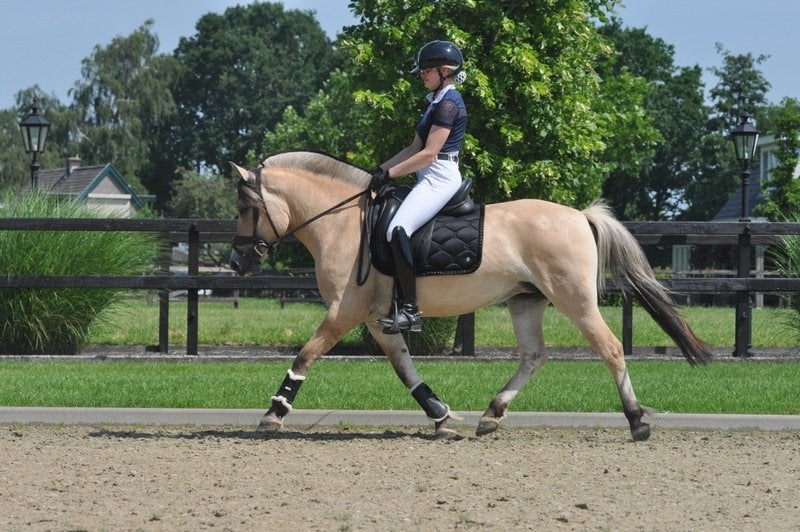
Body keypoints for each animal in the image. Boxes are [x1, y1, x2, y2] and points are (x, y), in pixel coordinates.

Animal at [229, 151, 712, 441]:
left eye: (245, 209)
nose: (236, 263)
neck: (343, 222)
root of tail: (579, 215)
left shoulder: (344, 311)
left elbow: (306, 355)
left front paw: (273, 414)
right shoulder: (376, 319)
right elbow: (405, 369)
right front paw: (441, 416)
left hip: (573, 299)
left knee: (610, 348)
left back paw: (637, 421)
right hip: (525, 301)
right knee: (534, 356)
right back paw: (492, 414)